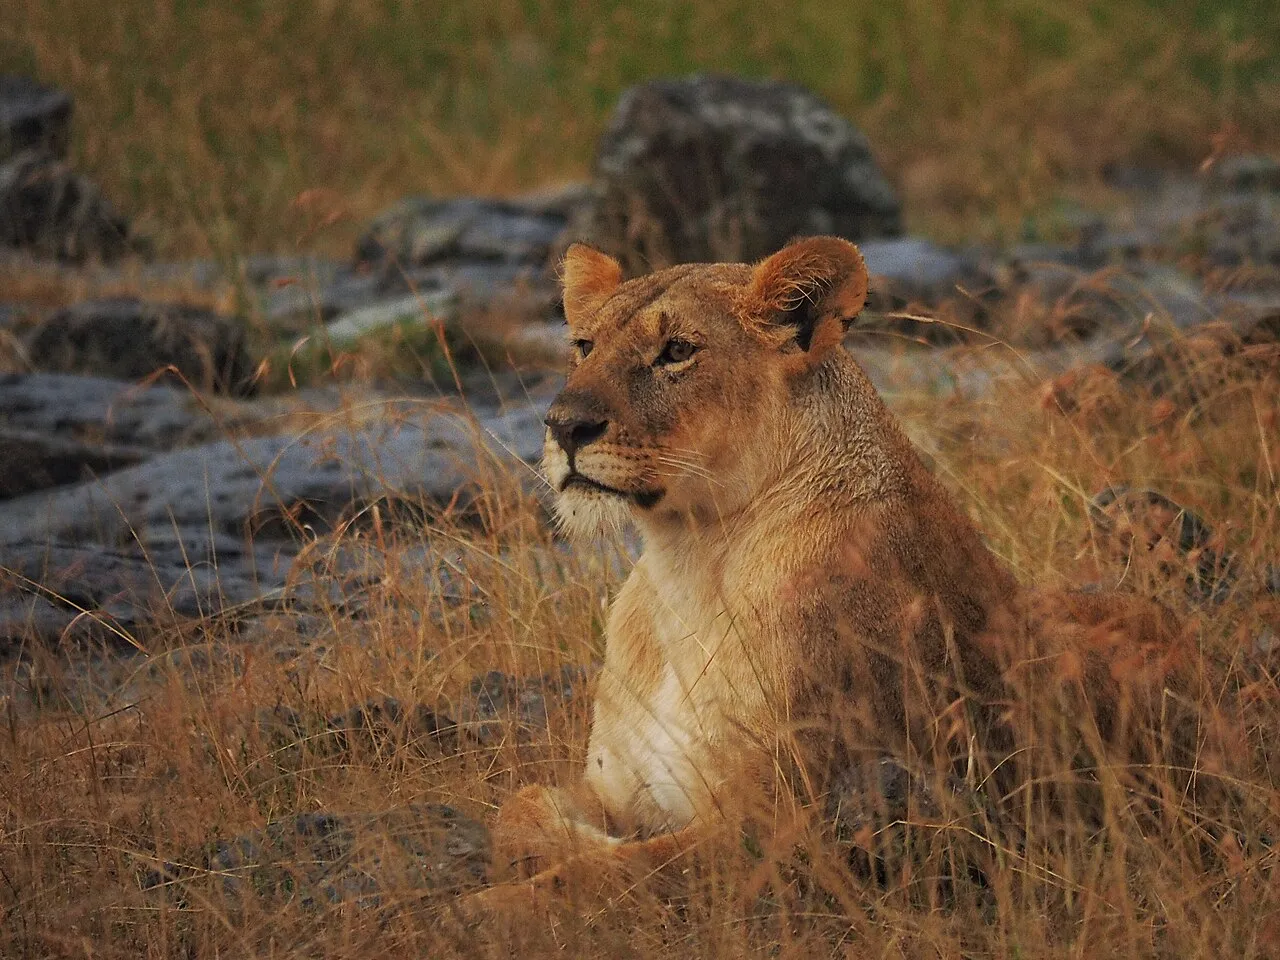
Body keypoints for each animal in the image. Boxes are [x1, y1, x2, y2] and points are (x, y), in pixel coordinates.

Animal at [480, 236, 1200, 907]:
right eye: (583, 345)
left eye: (678, 350)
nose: (563, 425)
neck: (685, 560)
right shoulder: (615, 782)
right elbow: (516, 811)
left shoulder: (777, 834)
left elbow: (601, 877)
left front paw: (490, 904)